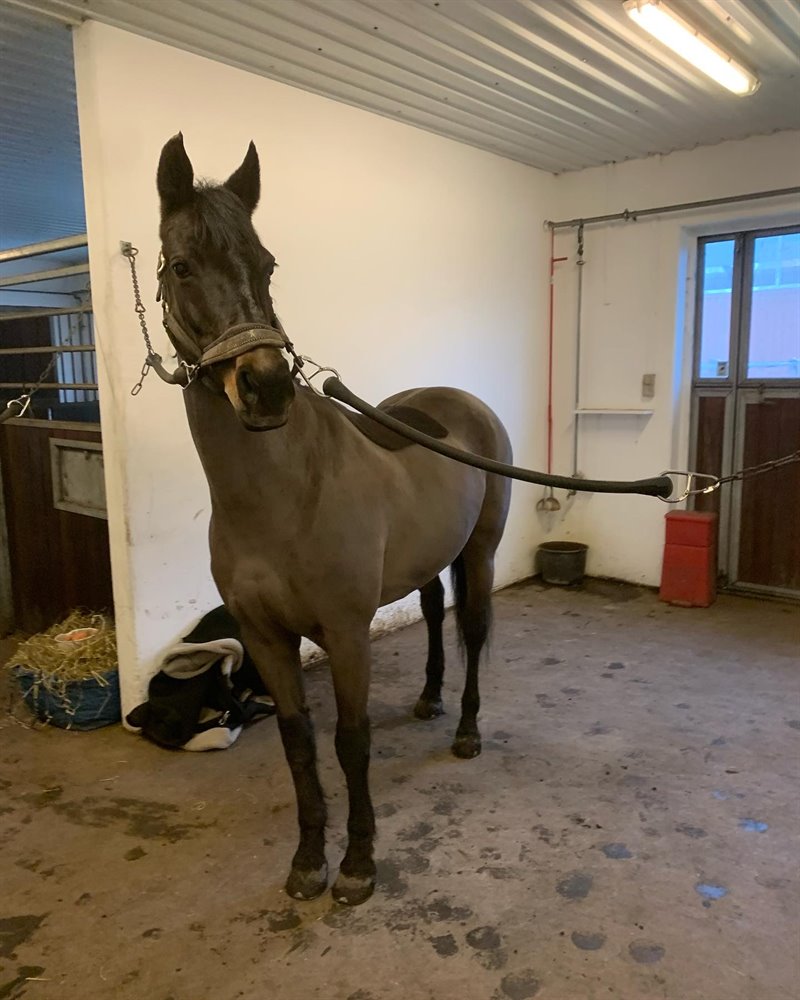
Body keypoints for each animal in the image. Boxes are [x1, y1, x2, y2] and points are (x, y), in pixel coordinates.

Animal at [155, 134, 512, 905]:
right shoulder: (265, 638)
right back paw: (430, 700)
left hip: (480, 552)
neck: (281, 496)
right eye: (181, 265)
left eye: (266, 263)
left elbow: (351, 741)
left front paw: (357, 864)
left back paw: (466, 731)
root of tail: (463, 402)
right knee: (434, 615)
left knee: (471, 630)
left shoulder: (346, 634)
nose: (264, 386)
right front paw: (306, 861)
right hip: (427, 562)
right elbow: (298, 740)